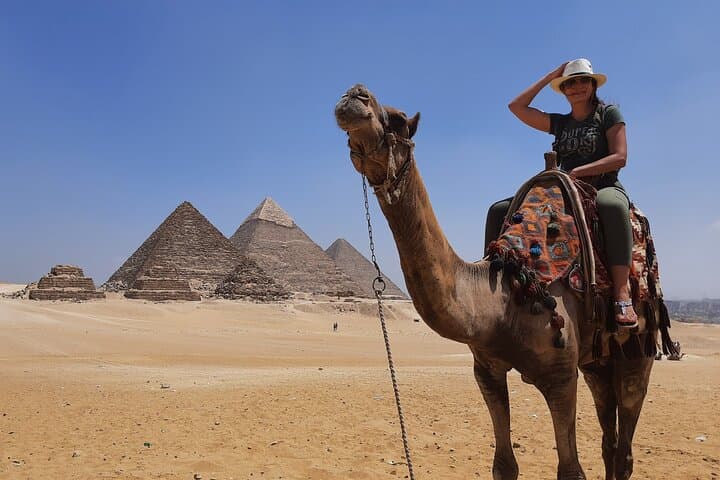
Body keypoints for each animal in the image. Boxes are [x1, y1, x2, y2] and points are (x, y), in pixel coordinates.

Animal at [335, 84, 658, 480]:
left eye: (397, 119)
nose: (355, 95)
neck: (507, 294)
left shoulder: (560, 378)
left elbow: (570, 470)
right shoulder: (486, 371)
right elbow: (504, 464)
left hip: (637, 350)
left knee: (625, 441)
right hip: (597, 360)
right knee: (609, 440)